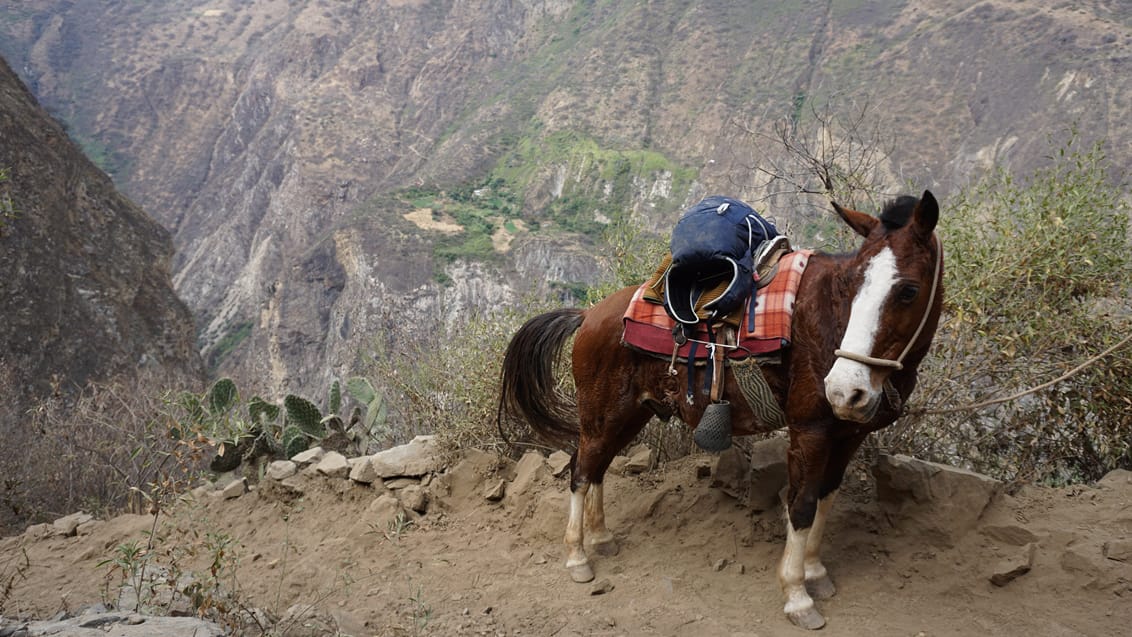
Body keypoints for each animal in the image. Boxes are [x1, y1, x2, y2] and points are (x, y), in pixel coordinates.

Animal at [500, 192, 941, 629]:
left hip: (630, 414)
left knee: (598, 467)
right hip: (600, 412)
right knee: (580, 470)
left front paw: (816, 572)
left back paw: (602, 538)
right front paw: (797, 595)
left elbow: (826, 499)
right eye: (850, 285)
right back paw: (578, 556)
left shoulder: (850, 435)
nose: (844, 389)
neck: (826, 321)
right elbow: (801, 506)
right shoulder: (810, 430)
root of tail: (588, 314)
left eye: (908, 291)